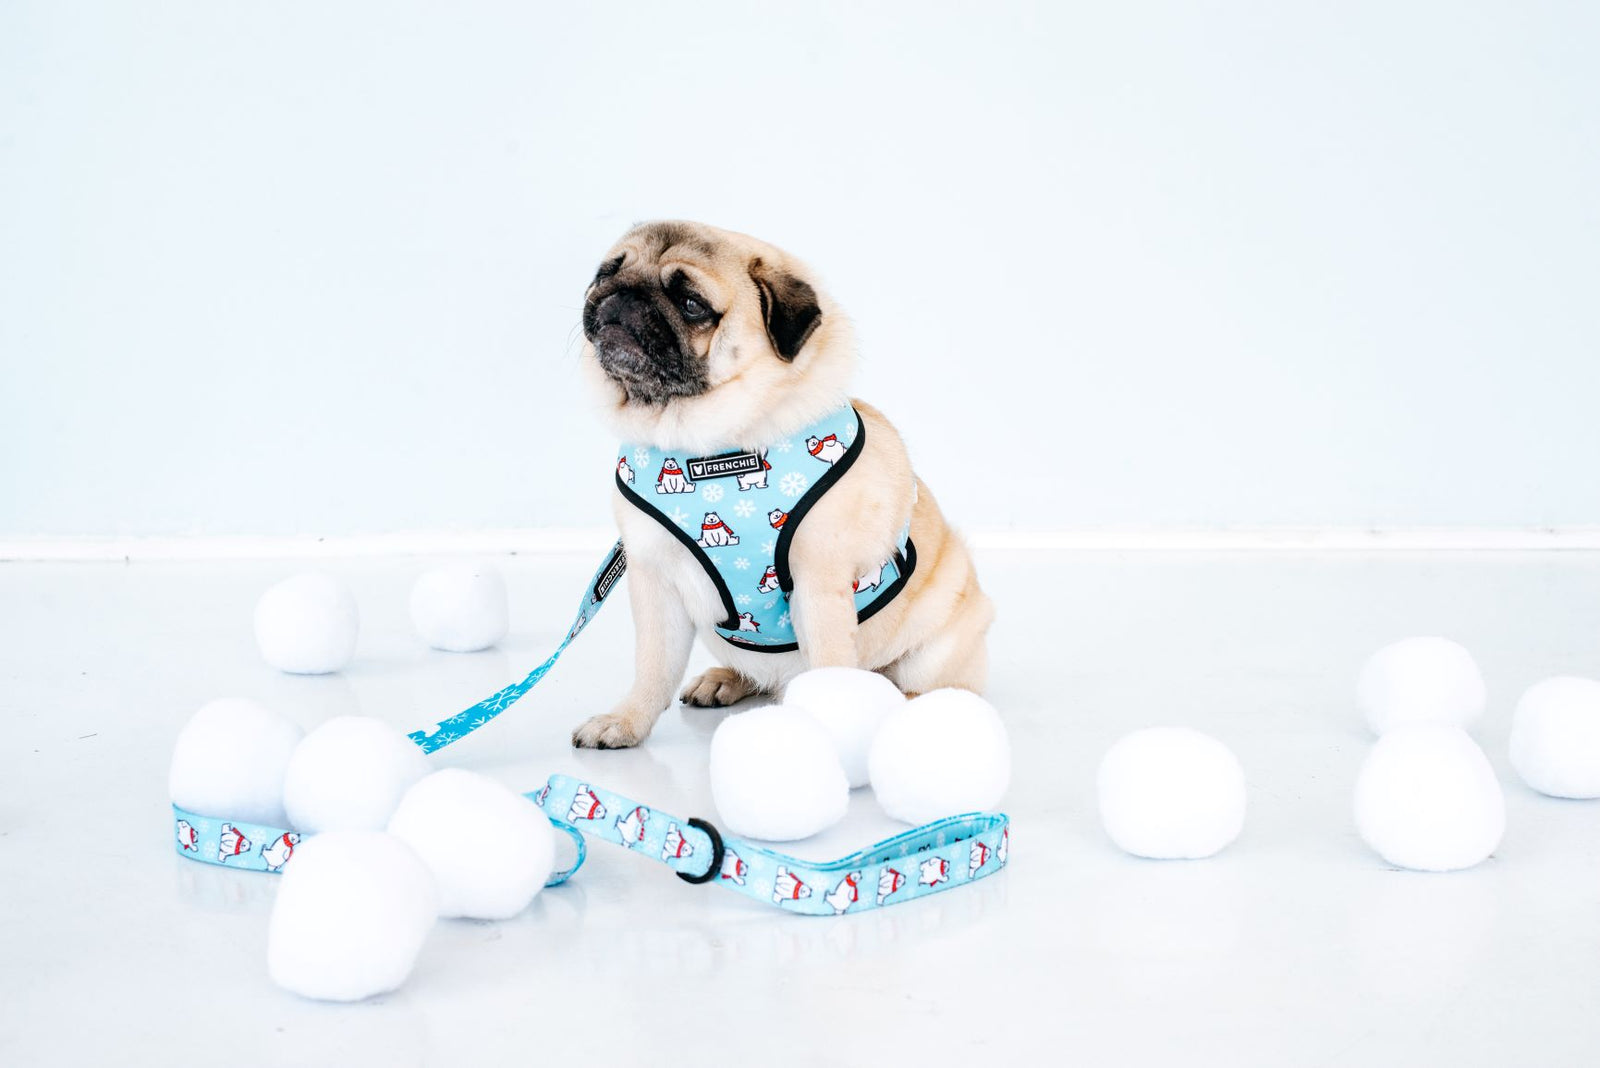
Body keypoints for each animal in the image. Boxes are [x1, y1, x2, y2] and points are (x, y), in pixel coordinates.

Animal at [572, 220, 993, 749]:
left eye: (691, 304)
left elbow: (830, 666)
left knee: (929, 686)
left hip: (937, 644)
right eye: (606, 273)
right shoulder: (655, 580)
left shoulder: (818, 585)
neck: (704, 447)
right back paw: (725, 680)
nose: (623, 294)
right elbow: (653, 666)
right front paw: (627, 721)